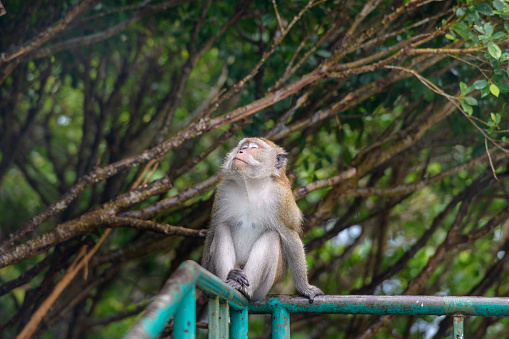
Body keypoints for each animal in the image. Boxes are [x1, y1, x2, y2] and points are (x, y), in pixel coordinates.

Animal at [201, 137, 324, 302]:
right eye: (243, 146)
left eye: (253, 147)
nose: (241, 151)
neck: (251, 187)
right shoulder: (223, 191)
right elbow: (214, 228)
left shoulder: (281, 200)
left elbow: (291, 238)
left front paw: (306, 288)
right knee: (221, 227)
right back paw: (231, 278)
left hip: (263, 289)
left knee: (272, 236)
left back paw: (242, 288)